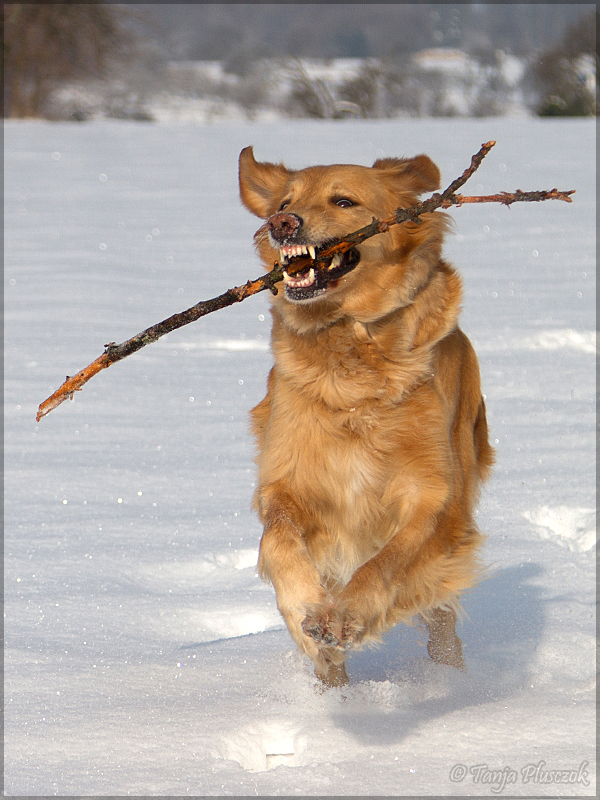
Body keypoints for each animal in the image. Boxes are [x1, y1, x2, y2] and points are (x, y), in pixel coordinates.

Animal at [237, 145, 494, 688]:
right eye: (285, 201)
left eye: (343, 201)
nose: (282, 223)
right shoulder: (288, 481)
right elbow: (279, 541)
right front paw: (307, 609)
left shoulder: (434, 494)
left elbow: (390, 561)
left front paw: (350, 614)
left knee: (442, 620)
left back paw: (451, 677)